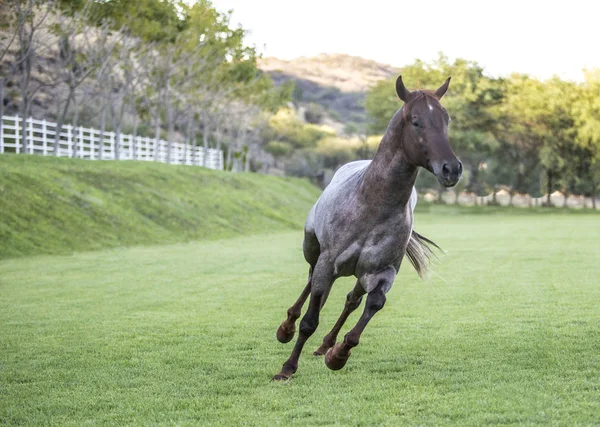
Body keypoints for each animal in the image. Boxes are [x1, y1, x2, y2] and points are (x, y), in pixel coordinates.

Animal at [272, 77, 464, 382]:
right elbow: (310, 320)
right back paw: (286, 327)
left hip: (359, 274)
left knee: (351, 300)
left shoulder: (383, 272)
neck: (371, 205)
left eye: (446, 120)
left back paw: (326, 344)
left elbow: (373, 305)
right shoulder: (328, 262)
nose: (452, 169)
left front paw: (338, 355)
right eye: (415, 121)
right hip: (313, 250)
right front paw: (287, 368)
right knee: (311, 282)